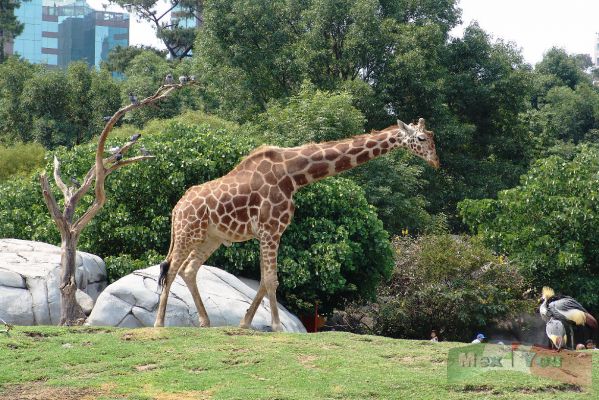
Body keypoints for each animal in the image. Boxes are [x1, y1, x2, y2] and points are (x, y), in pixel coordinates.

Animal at [152, 117, 438, 330]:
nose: (436, 161)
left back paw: (205, 321)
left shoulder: (271, 232)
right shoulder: (270, 229)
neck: (294, 176)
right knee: (172, 270)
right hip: (188, 232)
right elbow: (271, 280)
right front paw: (278, 326)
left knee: (189, 269)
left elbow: (266, 279)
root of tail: (177, 209)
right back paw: (159, 323)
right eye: (421, 139)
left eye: (432, 137)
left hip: (210, 237)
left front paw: (245, 323)